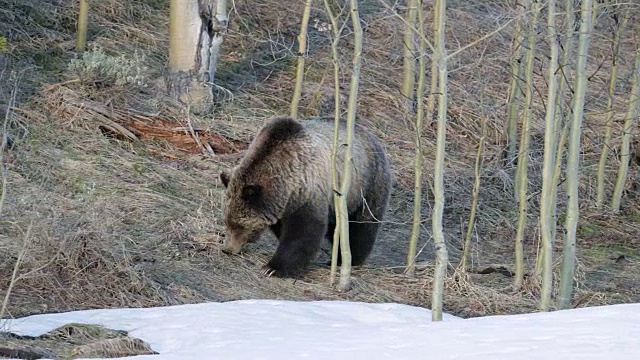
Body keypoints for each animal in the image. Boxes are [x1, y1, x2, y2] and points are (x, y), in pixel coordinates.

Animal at [219, 116, 390, 278]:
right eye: (227, 221)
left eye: (239, 225)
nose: (227, 249)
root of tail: (372, 136)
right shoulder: (282, 204)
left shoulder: (308, 191)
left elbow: (303, 231)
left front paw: (272, 268)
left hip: (367, 185)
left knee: (361, 225)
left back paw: (348, 260)